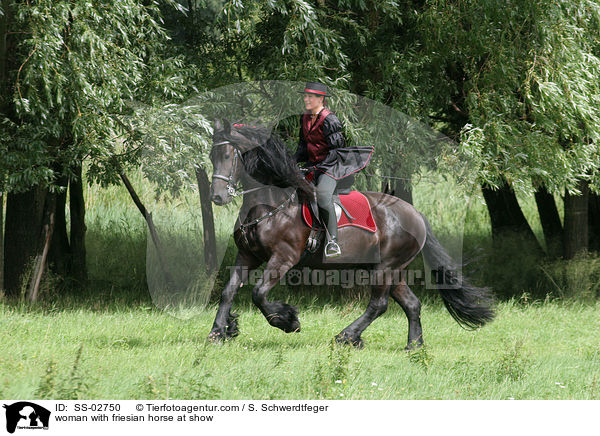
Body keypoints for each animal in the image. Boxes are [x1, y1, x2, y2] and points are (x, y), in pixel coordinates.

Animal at [206, 118, 492, 348]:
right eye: (211, 156)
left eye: (228, 155)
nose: (217, 197)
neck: (269, 205)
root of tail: (416, 214)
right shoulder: (248, 255)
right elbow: (228, 291)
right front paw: (218, 332)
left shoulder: (283, 258)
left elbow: (259, 294)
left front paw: (289, 321)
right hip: (392, 269)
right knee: (411, 304)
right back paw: (414, 345)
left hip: (385, 267)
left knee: (379, 305)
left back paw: (346, 337)